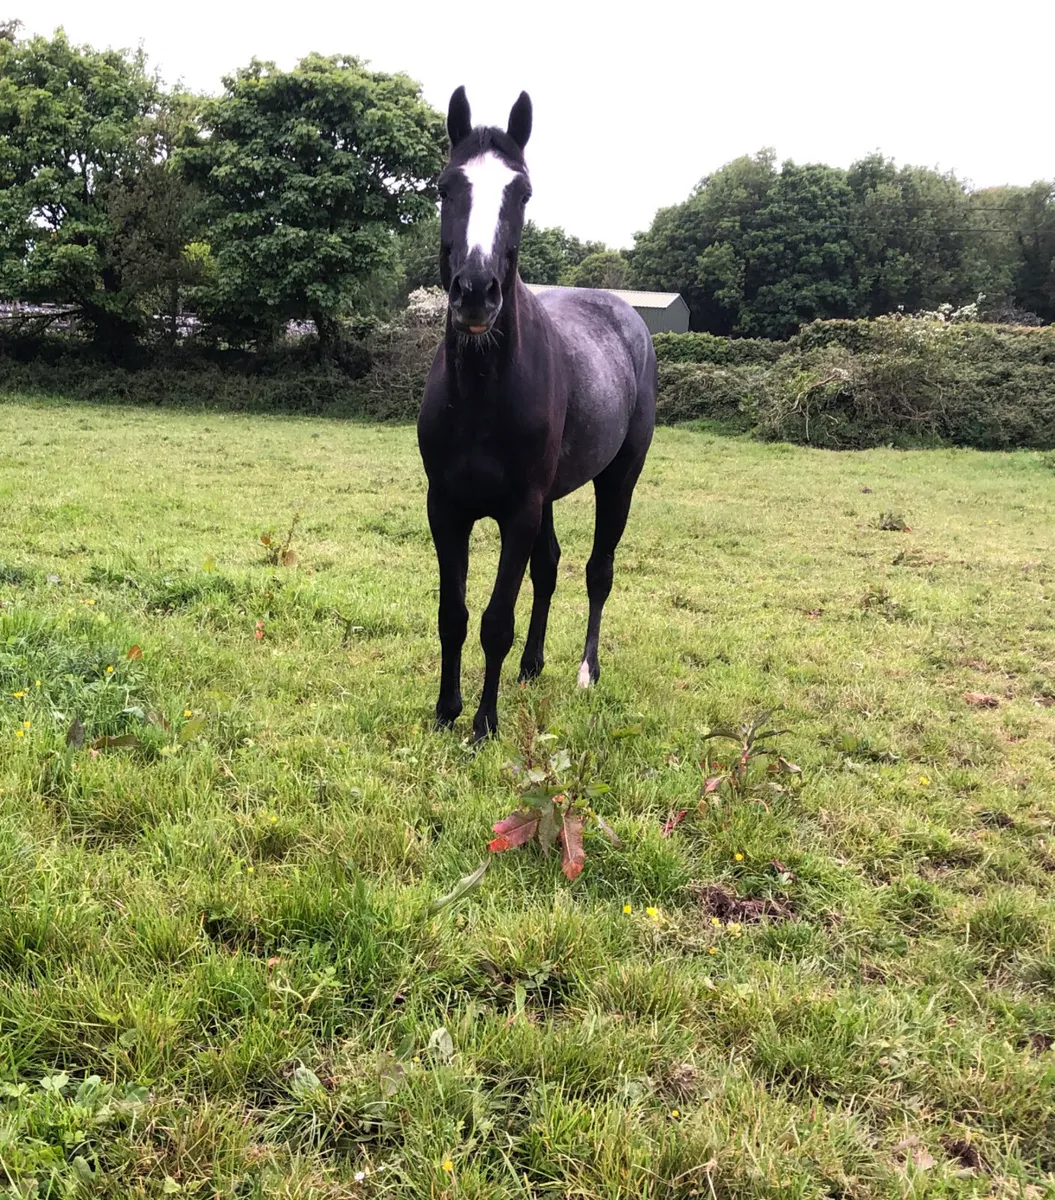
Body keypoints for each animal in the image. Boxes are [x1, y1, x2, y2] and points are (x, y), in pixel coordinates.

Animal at [417, 86, 656, 742]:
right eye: (446, 186)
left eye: (522, 192)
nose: (476, 292)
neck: (481, 395)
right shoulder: (446, 508)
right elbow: (453, 613)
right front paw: (446, 710)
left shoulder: (518, 511)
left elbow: (495, 620)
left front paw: (483, 724)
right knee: (548, 569)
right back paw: (532, 664)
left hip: (618, 480)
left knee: (598, 571)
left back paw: (585, 671)